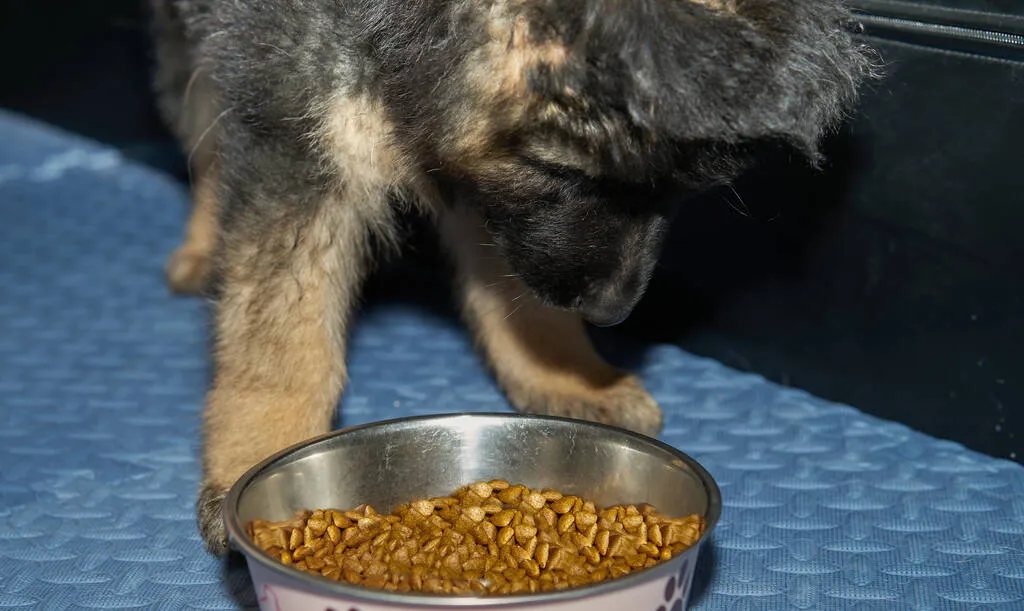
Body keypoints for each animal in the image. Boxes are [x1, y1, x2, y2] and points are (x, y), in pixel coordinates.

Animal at [148, 0, 876, 552]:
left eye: (678, 192)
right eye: (572, 173)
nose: (612, 313)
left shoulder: (491, 190)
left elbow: (519, 289)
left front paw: (565, 374)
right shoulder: (295, 132)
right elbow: (281, 338)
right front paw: (259, 458)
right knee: (198, 111)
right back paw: (204, 245)